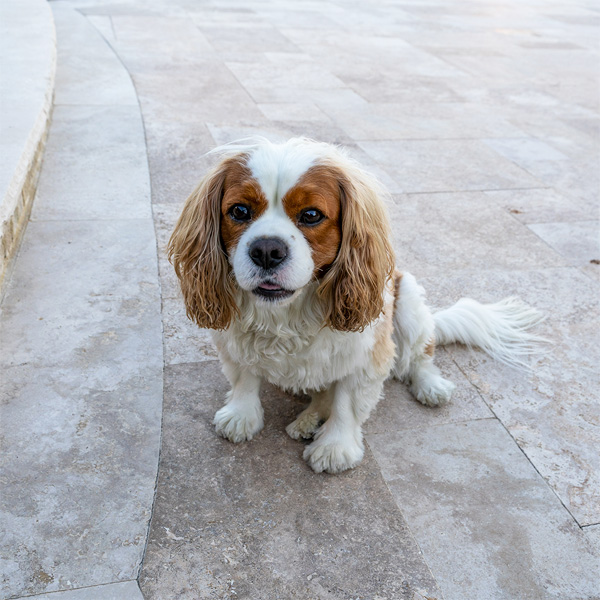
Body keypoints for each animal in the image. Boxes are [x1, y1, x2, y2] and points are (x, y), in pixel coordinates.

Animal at [168, 137, 545, 474]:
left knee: (420, 356)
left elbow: (347, 402)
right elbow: (244, 377)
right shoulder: (232, 339)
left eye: (311, 215)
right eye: (239, 211)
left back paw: (429, 386)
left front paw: (335, 447)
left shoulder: (367, 354)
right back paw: (308, 419)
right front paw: (241, 416)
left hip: (410, 305)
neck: (289, 312)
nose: (267, 250)